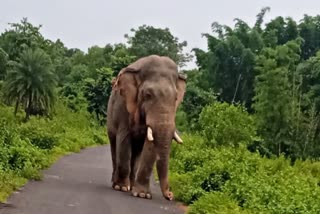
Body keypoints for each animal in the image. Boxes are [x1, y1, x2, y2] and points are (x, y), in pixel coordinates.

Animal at [106, 54, 186, 201]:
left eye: (176, 98)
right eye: (148, 95)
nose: (170, 195)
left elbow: (150, 145)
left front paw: (142, 195)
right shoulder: (123, 107)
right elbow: (124, 140)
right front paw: (121, 188)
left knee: (136, 153)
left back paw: (131, 186)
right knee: (114, 145)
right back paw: (118, 184)